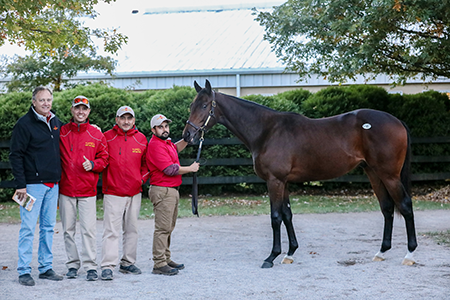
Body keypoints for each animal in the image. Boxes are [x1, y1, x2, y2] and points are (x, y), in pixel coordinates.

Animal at [183, 80, 418, 270]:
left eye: (204, 105)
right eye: (191, 105)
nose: (187, 135)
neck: (267, 131)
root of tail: (397, 121)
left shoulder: (275, 181)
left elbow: (275, 217)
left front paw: (271, 257)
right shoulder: (284, 182)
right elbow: (287, 215)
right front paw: (289, 253)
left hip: (389, 175)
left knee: (405, 205)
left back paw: (409, 254)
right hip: (373, 173)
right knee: (387, 208)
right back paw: (381, 252)